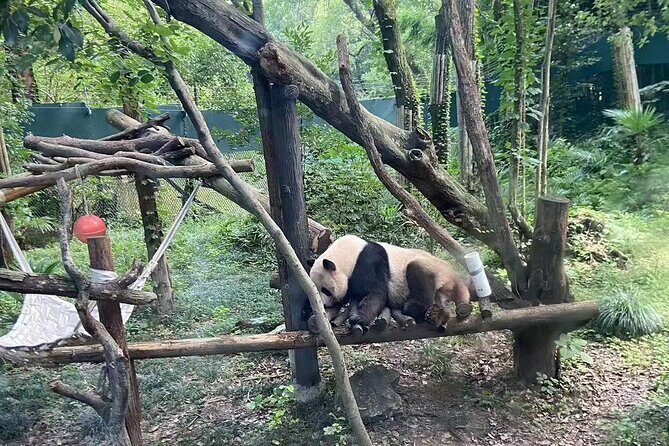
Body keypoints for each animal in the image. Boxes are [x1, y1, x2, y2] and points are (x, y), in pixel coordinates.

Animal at [309, 235, 472, 331]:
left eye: (325, 290)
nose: (324, 305)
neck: (351, 253)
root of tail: (453, 275)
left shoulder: (369, 261)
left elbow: (376, 292)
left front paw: (359, 318)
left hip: (431, 268)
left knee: (418, 275)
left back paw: (415, 308)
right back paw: (438, 313)